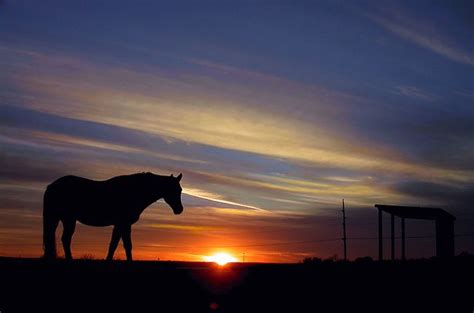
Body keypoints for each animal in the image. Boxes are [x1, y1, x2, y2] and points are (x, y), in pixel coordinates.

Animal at [43, 172, 183, 260]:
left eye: (180, 190)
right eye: (174, 189)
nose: (179, 210)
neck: (135, 191)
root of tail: (52, 186)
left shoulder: (123, 225)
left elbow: (121, 245)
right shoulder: (122, 224)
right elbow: (119, 244)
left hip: (61, 219)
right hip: (67, 219)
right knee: (65, 239)